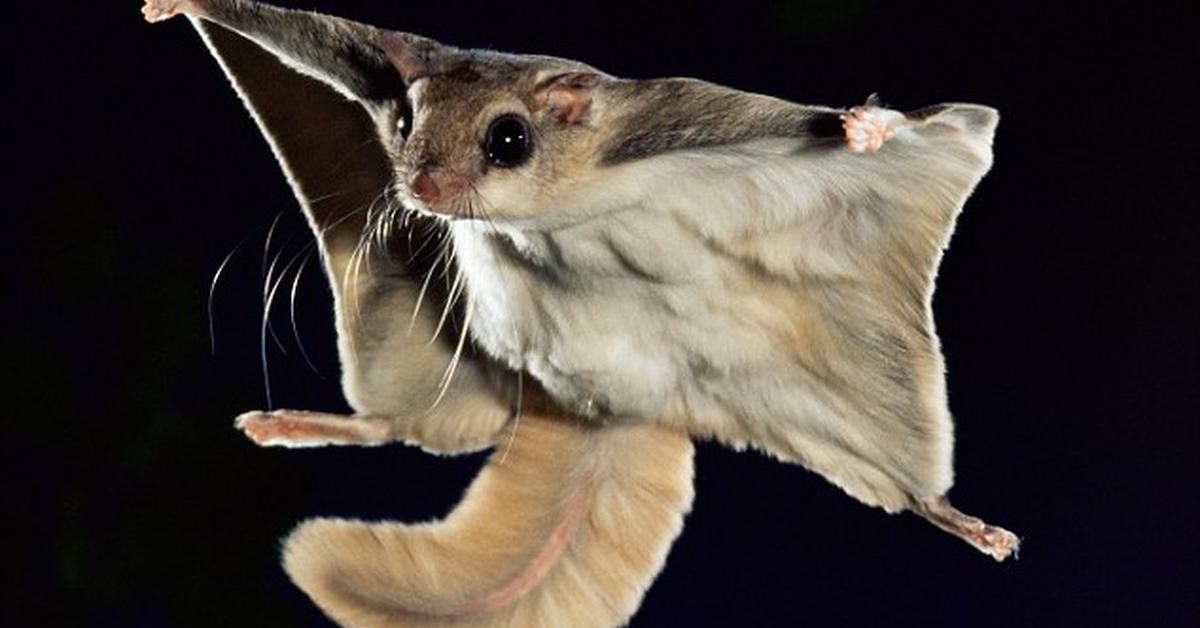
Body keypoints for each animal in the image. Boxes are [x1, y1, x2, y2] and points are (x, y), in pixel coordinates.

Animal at [142, 2, 1022, 624]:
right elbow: (305, 32)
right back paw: (297, 422)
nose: (421, 189)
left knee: (907, 487)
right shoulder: (376, 61)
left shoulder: (682, 117)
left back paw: (960, 519)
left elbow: (804, 123)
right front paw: (181, 4)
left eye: (507, 140)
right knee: (403, 426)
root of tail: (613, 410)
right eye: (404, 122)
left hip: (848, 405)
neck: (552, 208)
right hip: (445, 360)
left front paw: (864, 125)